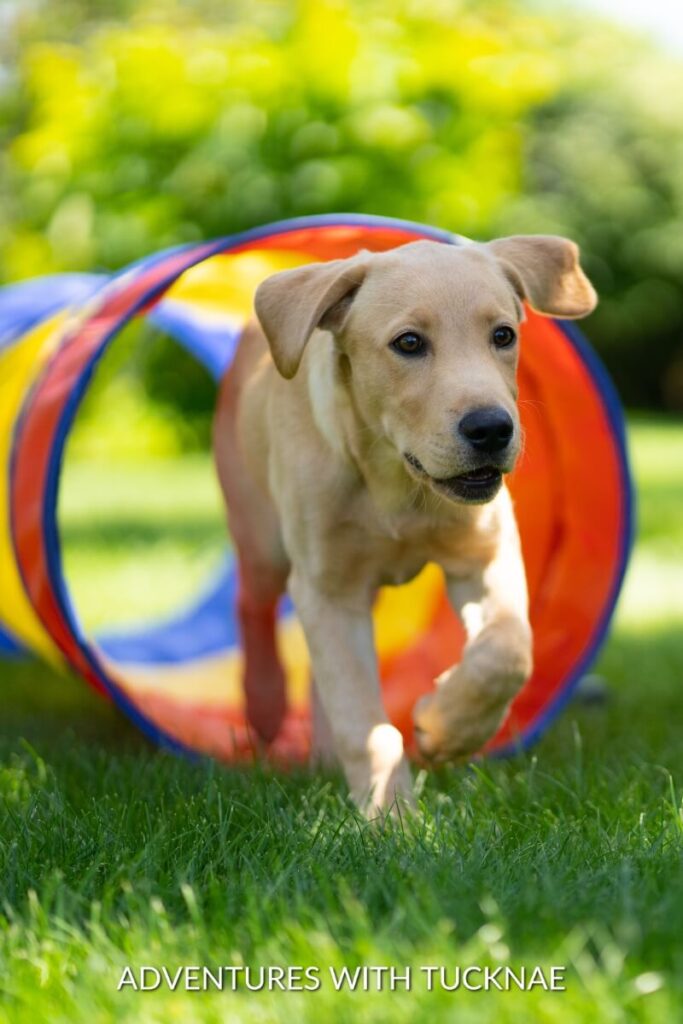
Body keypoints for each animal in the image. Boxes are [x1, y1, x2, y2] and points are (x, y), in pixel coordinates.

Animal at [214, 234, 598, 815]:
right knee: (251, 605)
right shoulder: (326, 586)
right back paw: (265, 706)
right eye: (409, 343)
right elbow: (363, 722)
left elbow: (506, 652)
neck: (396, 481)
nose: (492, 428)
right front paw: (390, 816)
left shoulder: (483, 558)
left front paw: (443, 729)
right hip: (262, 537)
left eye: (503, 335)